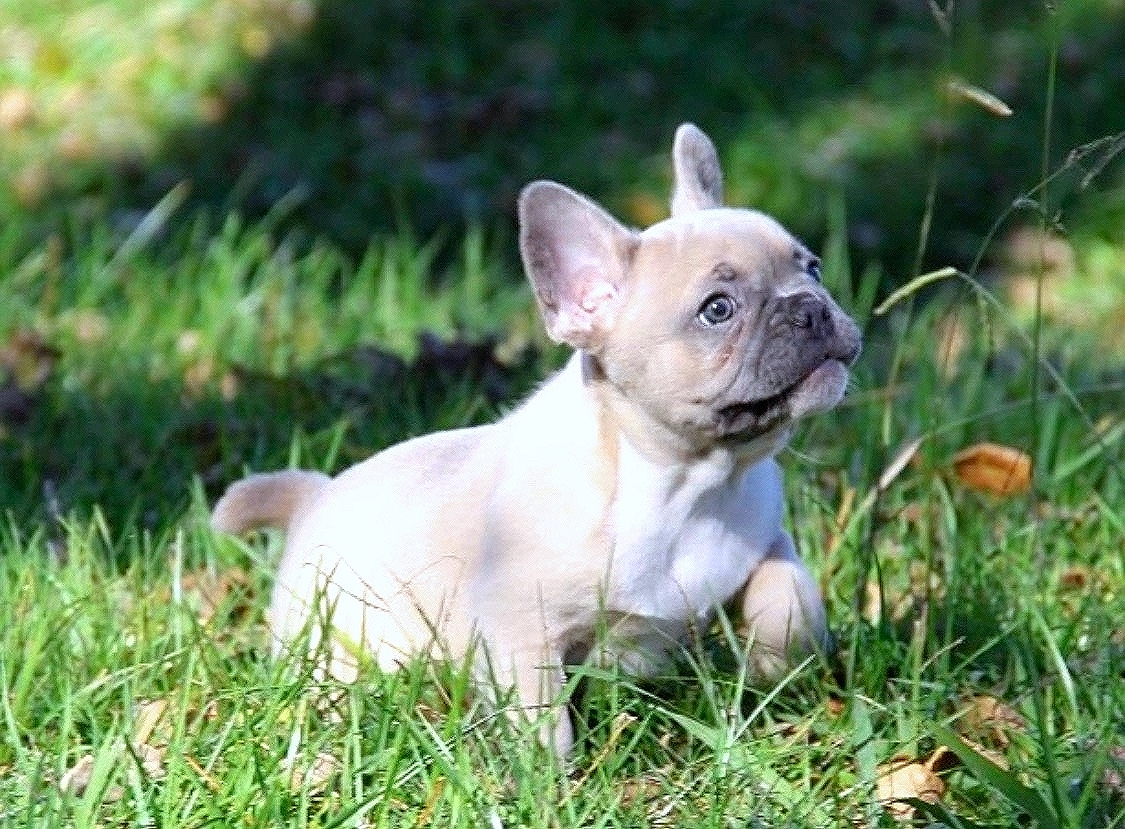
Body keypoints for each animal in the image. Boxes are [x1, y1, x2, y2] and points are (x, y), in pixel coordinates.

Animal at [211, 124, 859, 755]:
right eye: (717, 309)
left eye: (814, 268)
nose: (810, 308)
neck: (684, 481)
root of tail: (312, 494)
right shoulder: (520, 626)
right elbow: (541, 714)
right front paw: (551, 775)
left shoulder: (766, 539)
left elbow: (791, 594)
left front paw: (777, 666)